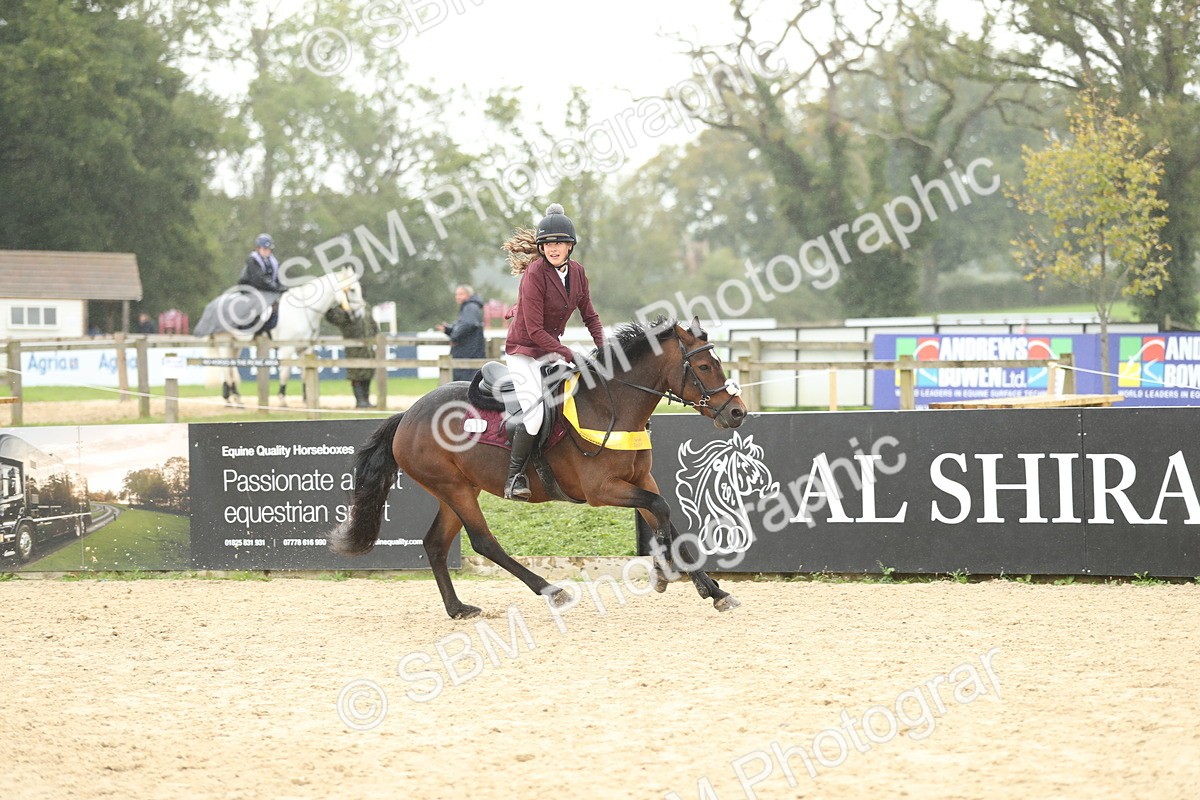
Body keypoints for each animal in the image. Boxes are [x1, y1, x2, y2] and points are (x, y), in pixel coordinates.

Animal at [195, 267, 366, 406]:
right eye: (352, 290)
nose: (359, 314)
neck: (304, 310)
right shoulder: (287, 348)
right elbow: (285, 373)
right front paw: (282, 399)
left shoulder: (305, 349)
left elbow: (305, 374)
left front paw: (307, 400)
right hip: (224, 343)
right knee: (226, 368)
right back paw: (233, 398)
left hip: (235, 345)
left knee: (230, 368)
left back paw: (232, 398)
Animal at [329, 317, 749, 619]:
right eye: (704, 365)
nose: (737, 412)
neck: (612, 404)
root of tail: (407, 415)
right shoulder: (602, 490)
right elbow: (660, 511)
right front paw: (673, 576)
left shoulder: (640, 479)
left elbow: (666, 520)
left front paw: (710, 589)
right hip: (455, 489)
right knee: (484, 542)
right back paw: (552, 590)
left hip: (457, 489)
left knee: (434, 544)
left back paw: (458, 608)